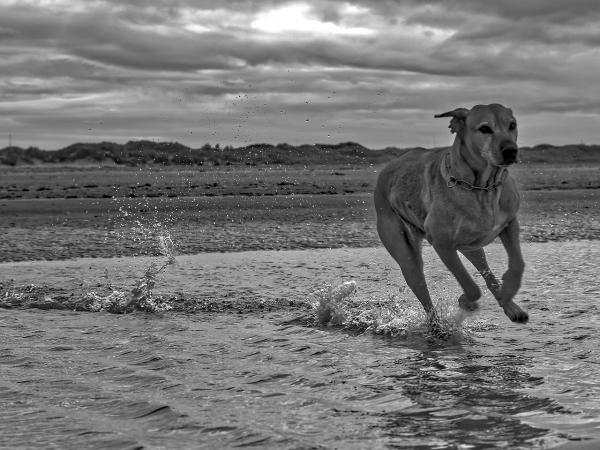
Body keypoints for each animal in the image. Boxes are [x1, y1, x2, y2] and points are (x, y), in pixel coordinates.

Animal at [376, 103, 528, 332]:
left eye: (512, 125)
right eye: (484, 129)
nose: (511, 151)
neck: (482, 187)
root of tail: (386, 170)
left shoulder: (509, 224)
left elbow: (518, 263)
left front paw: (508, 291)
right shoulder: (442, 243)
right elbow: (470, 286)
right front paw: (466, 302)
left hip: (472, 246)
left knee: (485, 270)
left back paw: (510, 306)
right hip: (406, 255)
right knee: (423, 293)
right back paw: (436, 327)